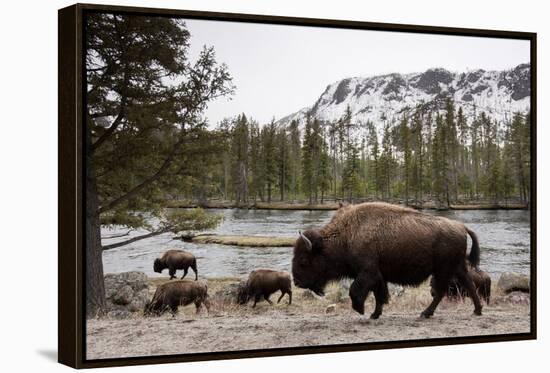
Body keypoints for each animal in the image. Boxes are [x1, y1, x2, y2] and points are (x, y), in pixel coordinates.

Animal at [294, 202, 484, 318]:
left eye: (303, 260)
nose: (296, 282)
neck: (346, 235)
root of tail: (462, 227)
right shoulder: (379, 276)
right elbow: (379, 294)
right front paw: (374, 314)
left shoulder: (368, 272)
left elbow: (356, 291)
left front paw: (361, 310)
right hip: (457, 268)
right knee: (468, 285)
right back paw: (476, 311)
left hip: (444, 270)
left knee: (442, 291)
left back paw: (425, 313)